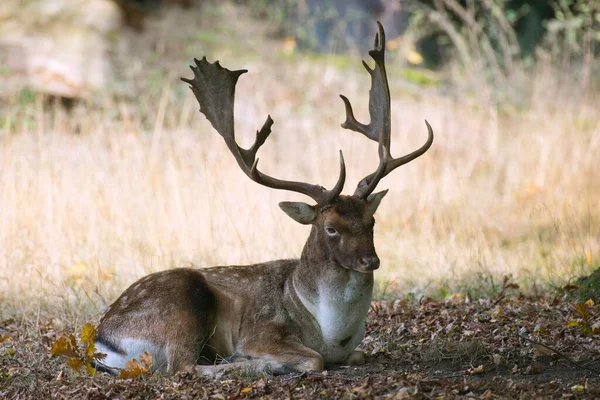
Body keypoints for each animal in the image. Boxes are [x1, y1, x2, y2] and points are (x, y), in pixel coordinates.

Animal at [92, 22, 432, 376]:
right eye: (331, 228)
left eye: (372, 221)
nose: (370, 260)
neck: (331, 332)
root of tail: (102, 343)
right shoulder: (263, 330)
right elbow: (314, 358)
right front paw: (265, 360)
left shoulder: (351, 349)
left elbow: (358, 354)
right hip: (181, 302)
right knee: (183, 366)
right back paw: (246, 364)